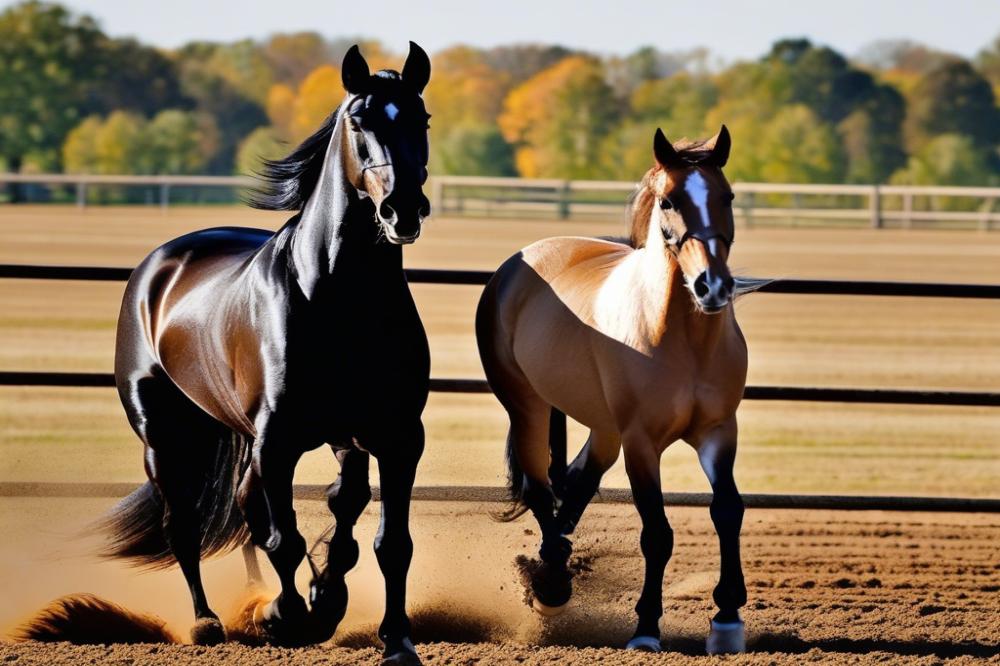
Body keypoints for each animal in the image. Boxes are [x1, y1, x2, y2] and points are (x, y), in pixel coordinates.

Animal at [100, 44, 434, 660]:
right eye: (359, 122)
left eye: (420, 120)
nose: (403, 210)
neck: (336, 296)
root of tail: (161, 265)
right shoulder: (277, 443)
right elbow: (284, 539)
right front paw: (286, 616)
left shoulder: (394, 439)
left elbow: (387, 540)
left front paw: (392, 637)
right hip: (163, 434)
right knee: (185, 524)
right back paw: (208, 622)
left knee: (277, 503)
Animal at [476, 126, 752, 652]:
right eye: (668, 201)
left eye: (727, 196)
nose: (712, 286)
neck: (681, 337)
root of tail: (517, 265)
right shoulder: (641, 443)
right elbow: (657, 533)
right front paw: (645, 628)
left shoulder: (718, 432)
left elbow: (728, 510)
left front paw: (727, 619)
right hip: (527, 406)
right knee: (540, 487)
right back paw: (552, 587)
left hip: (603, 429)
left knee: (576, 483)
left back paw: (552, 570)